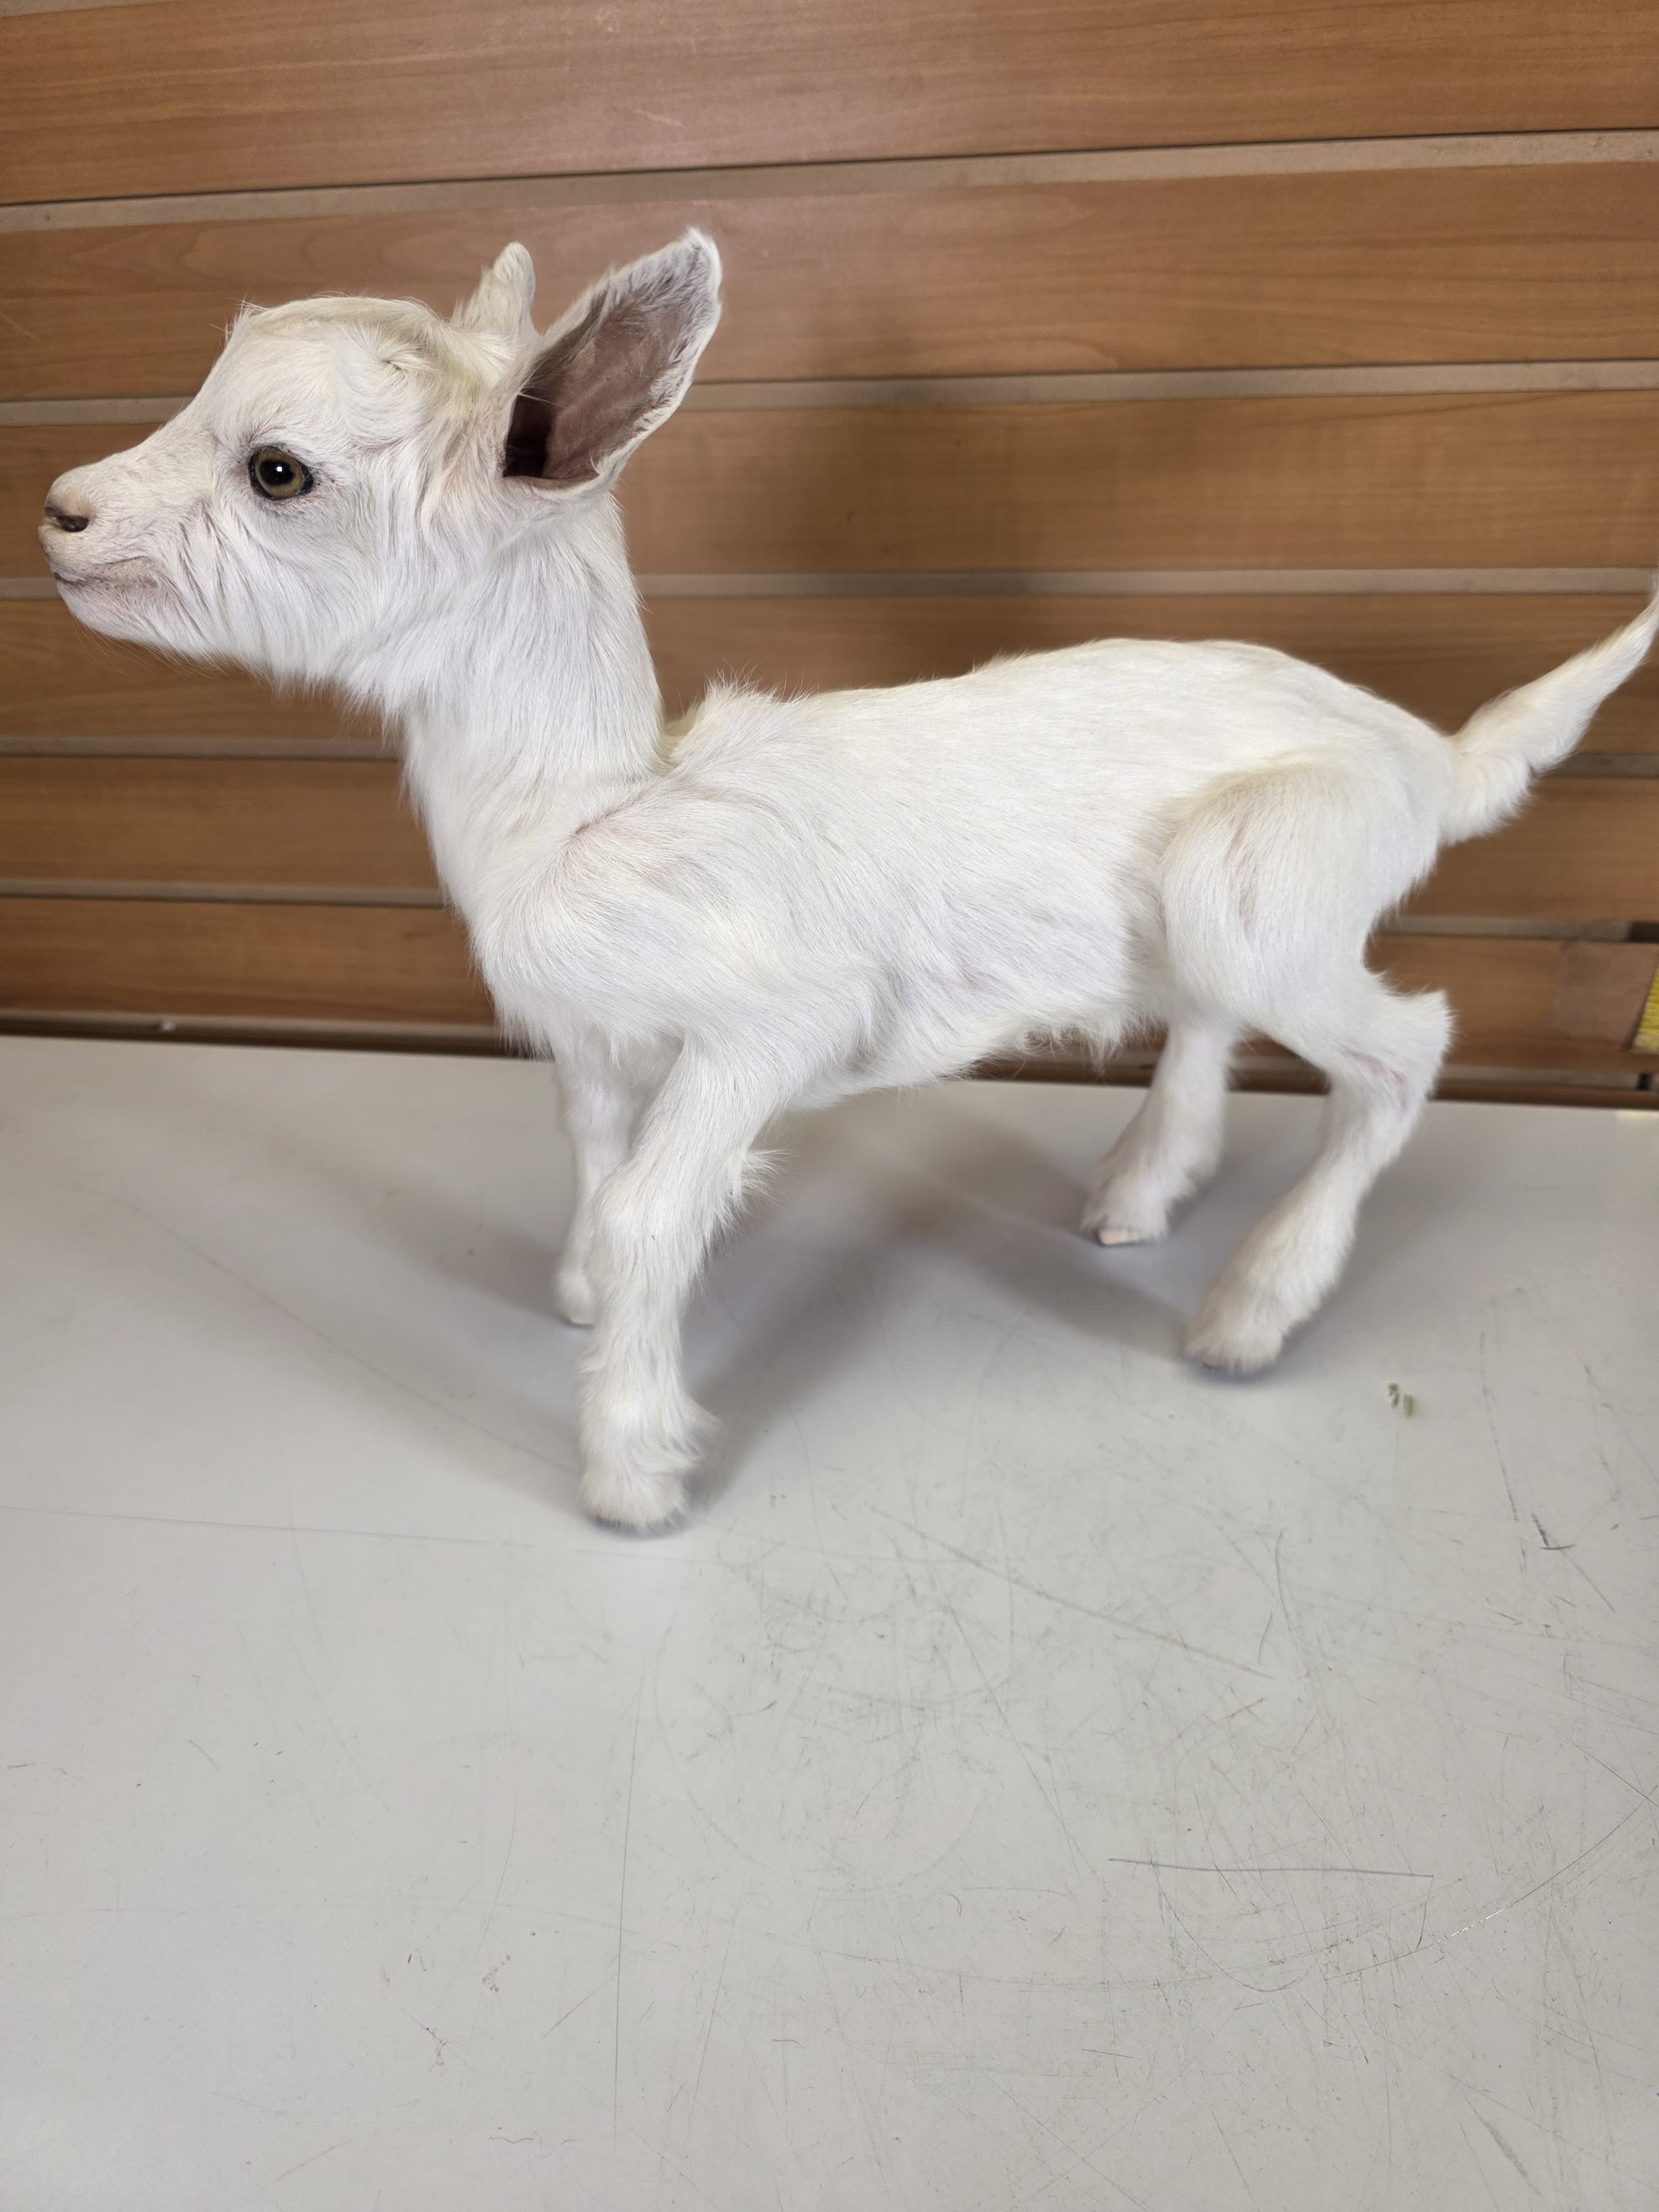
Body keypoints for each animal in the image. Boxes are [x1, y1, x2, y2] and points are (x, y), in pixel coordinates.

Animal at [41, 233, 1659, 1529]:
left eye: (278, 470)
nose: (59, 510)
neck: (594, 813)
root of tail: (1427, 757)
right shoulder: (597, 1044)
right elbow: (597, 1173)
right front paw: (578, 1307)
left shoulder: (771, 1019)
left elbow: (651, 1214)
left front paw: (633, 1471)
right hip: (1221, 903)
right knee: (1215, 1019)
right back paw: (1137, 1196)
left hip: (1274, 873)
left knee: (1406, 1047)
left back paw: (1247, 1315)